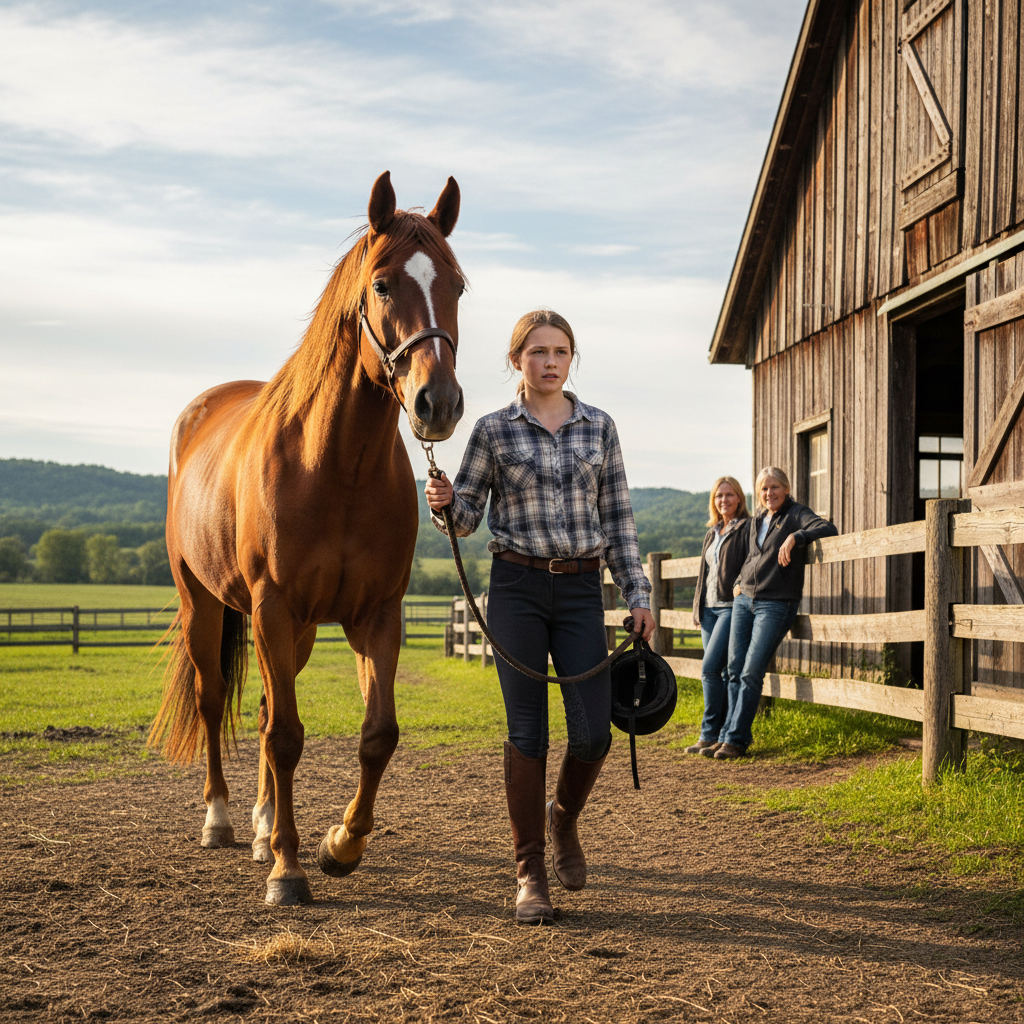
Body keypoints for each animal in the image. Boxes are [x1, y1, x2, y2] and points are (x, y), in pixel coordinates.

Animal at [149, 171, 465, 905]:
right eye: (383, 284)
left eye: (458, 287)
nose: (438, 403)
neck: (335, 465)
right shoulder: (273, 607)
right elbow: (286, 736)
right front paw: (288, 873)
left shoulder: (376, 615)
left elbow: (377, 735)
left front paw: (339, 845)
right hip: (206, 605)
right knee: (218, 703)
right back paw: (223, 821)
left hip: (291, 632)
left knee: (268, 708)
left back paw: (266, 827)